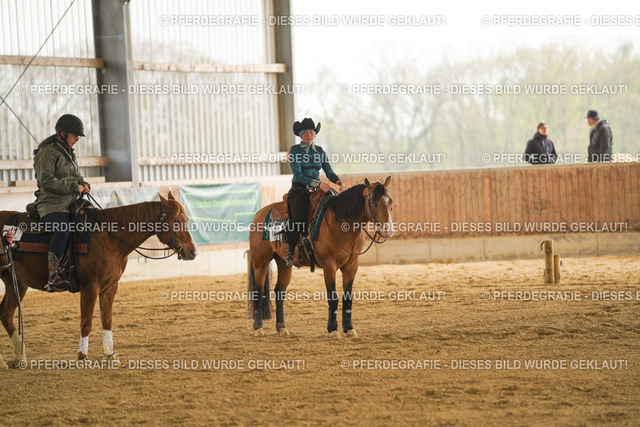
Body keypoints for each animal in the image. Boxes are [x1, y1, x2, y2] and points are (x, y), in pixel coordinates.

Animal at [0, 192, 197, 368]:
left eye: (186, 219)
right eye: (176, 221)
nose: (192, 251)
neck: (109, 237)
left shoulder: (110, 287)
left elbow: (107, 320)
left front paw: (110, 354)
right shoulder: (90, 287)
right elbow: (86, 322)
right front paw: (82, 357)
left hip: (16, 282)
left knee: (6, 314)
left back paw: (20, 358)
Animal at [248, 177, 394, 337]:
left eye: (391, 203)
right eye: (374, 203)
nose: (387, 231)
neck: (342, 222)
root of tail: (259, 214)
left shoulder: (351, 265)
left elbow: (347, 298)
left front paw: (349, 329)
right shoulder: (329, 265)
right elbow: (333, 297)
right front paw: (334, 329)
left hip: (283, 263)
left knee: (279, 292)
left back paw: (282, 327)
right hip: (260, 262)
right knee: (258, 292)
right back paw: (258, 327)